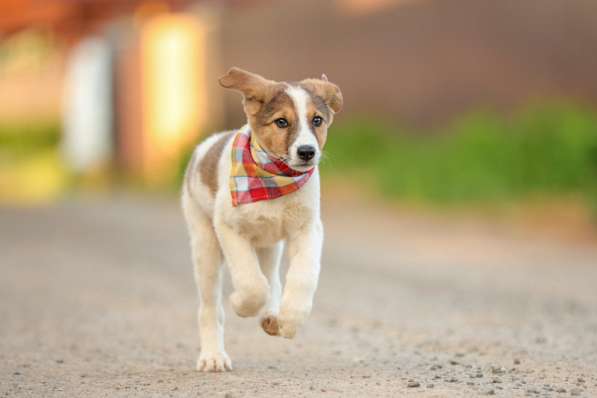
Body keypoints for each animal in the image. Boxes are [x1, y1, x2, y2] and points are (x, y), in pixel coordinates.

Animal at [179, 66, 342, 374]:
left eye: (317, 120)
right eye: (281, 122)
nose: (307, 152)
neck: (273, 181)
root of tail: (203, 147)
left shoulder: (308, 229)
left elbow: (302, 277)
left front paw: (289, 320)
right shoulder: (228, 228)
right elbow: (251, 283)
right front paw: (240, 304)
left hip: (269, 245)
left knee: (273, 280)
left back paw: (272, 315)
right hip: (205, 244)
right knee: (210, 306)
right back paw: (213, 355)